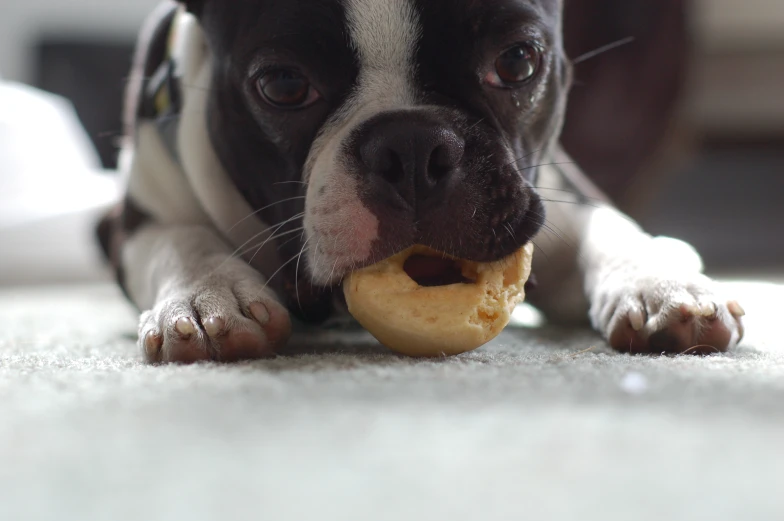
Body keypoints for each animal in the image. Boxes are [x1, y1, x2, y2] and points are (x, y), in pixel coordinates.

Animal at [99, 0, 748, 362]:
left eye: (517, 61)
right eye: (282, 85)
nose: (412, 147)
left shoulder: (564, 200)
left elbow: (616, 231)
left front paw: (663, 286)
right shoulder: (129, 221)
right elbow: (179, 238)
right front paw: (204, 299)